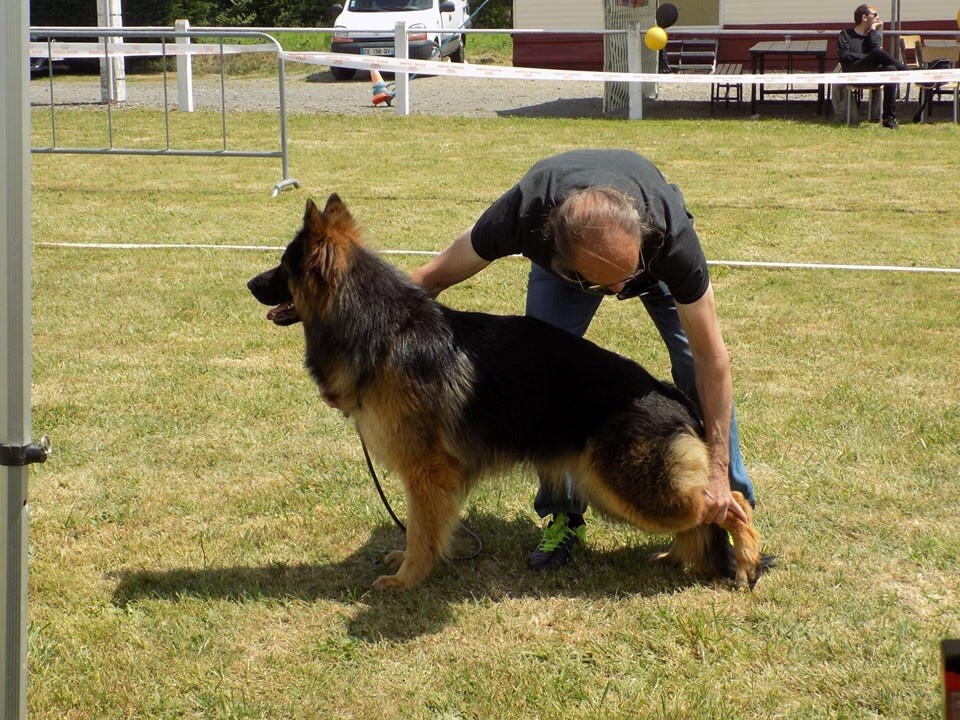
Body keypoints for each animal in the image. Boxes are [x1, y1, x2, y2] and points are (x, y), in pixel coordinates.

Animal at [248, 194, 764, 588]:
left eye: (283, 266)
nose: (249, 282)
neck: (382, 331)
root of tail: (671, 396)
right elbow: (426, 528)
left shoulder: (426, 471)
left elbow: (419, 531)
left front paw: (407, 580)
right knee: (702, 516)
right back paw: (679, 556)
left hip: (626, 487)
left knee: (729, 505)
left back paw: (745, 563)